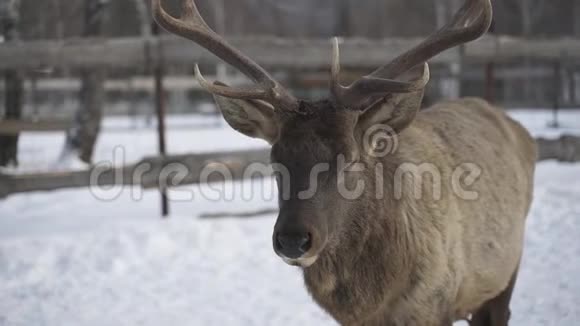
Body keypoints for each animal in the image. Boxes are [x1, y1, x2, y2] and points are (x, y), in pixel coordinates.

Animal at [152, 1, 536, 324]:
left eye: (350, 159)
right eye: (275, 159)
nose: (293, 240)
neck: (374, 303)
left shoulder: (435, 304)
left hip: (506, 270)